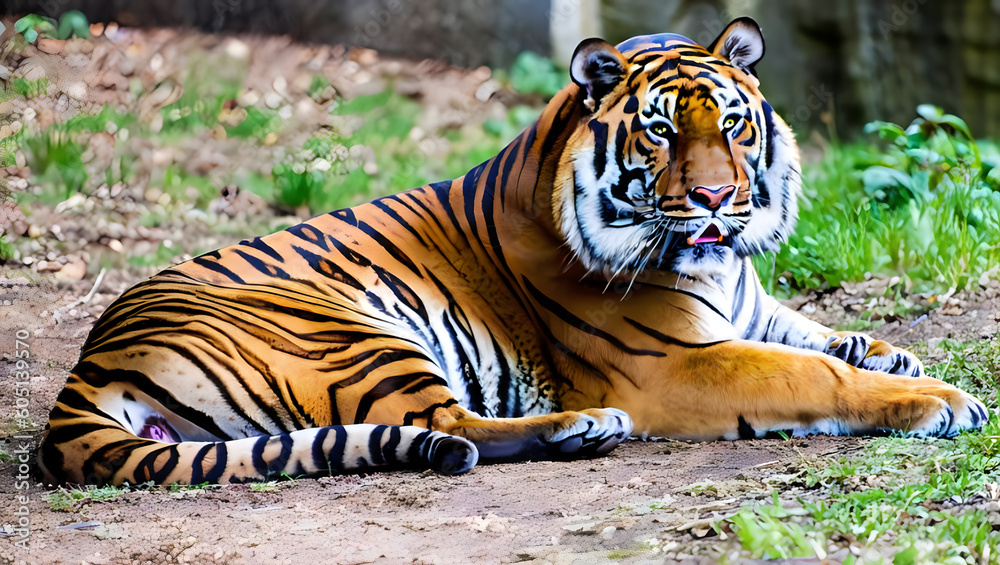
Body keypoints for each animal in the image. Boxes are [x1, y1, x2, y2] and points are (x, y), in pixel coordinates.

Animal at [39, 18, 988, 486]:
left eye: (732, 123)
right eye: (660, 132)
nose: (720, 198)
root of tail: (88, 365)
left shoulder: (748, 308)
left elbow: (822, 333)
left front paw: (890, 350)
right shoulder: (675, 363)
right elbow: (818, 371)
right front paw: (938, 397)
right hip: (357, 335)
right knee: (447, 426)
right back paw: (580, 427)